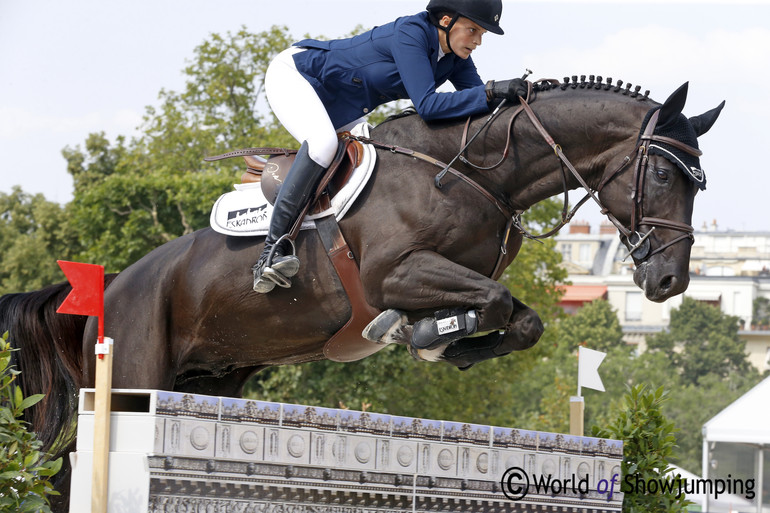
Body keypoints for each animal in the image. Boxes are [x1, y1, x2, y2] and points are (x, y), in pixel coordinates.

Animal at [0, 76, 720, 504]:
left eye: (699, 182)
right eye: (662, 172)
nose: (669, 280)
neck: (477, 173)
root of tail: (113, 286)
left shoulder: (464, 276)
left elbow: (521, 319)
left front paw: (445, 343)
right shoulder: (395, 274)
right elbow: (486, 304)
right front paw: (422, 334)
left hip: (207, 378)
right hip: (132, 376)